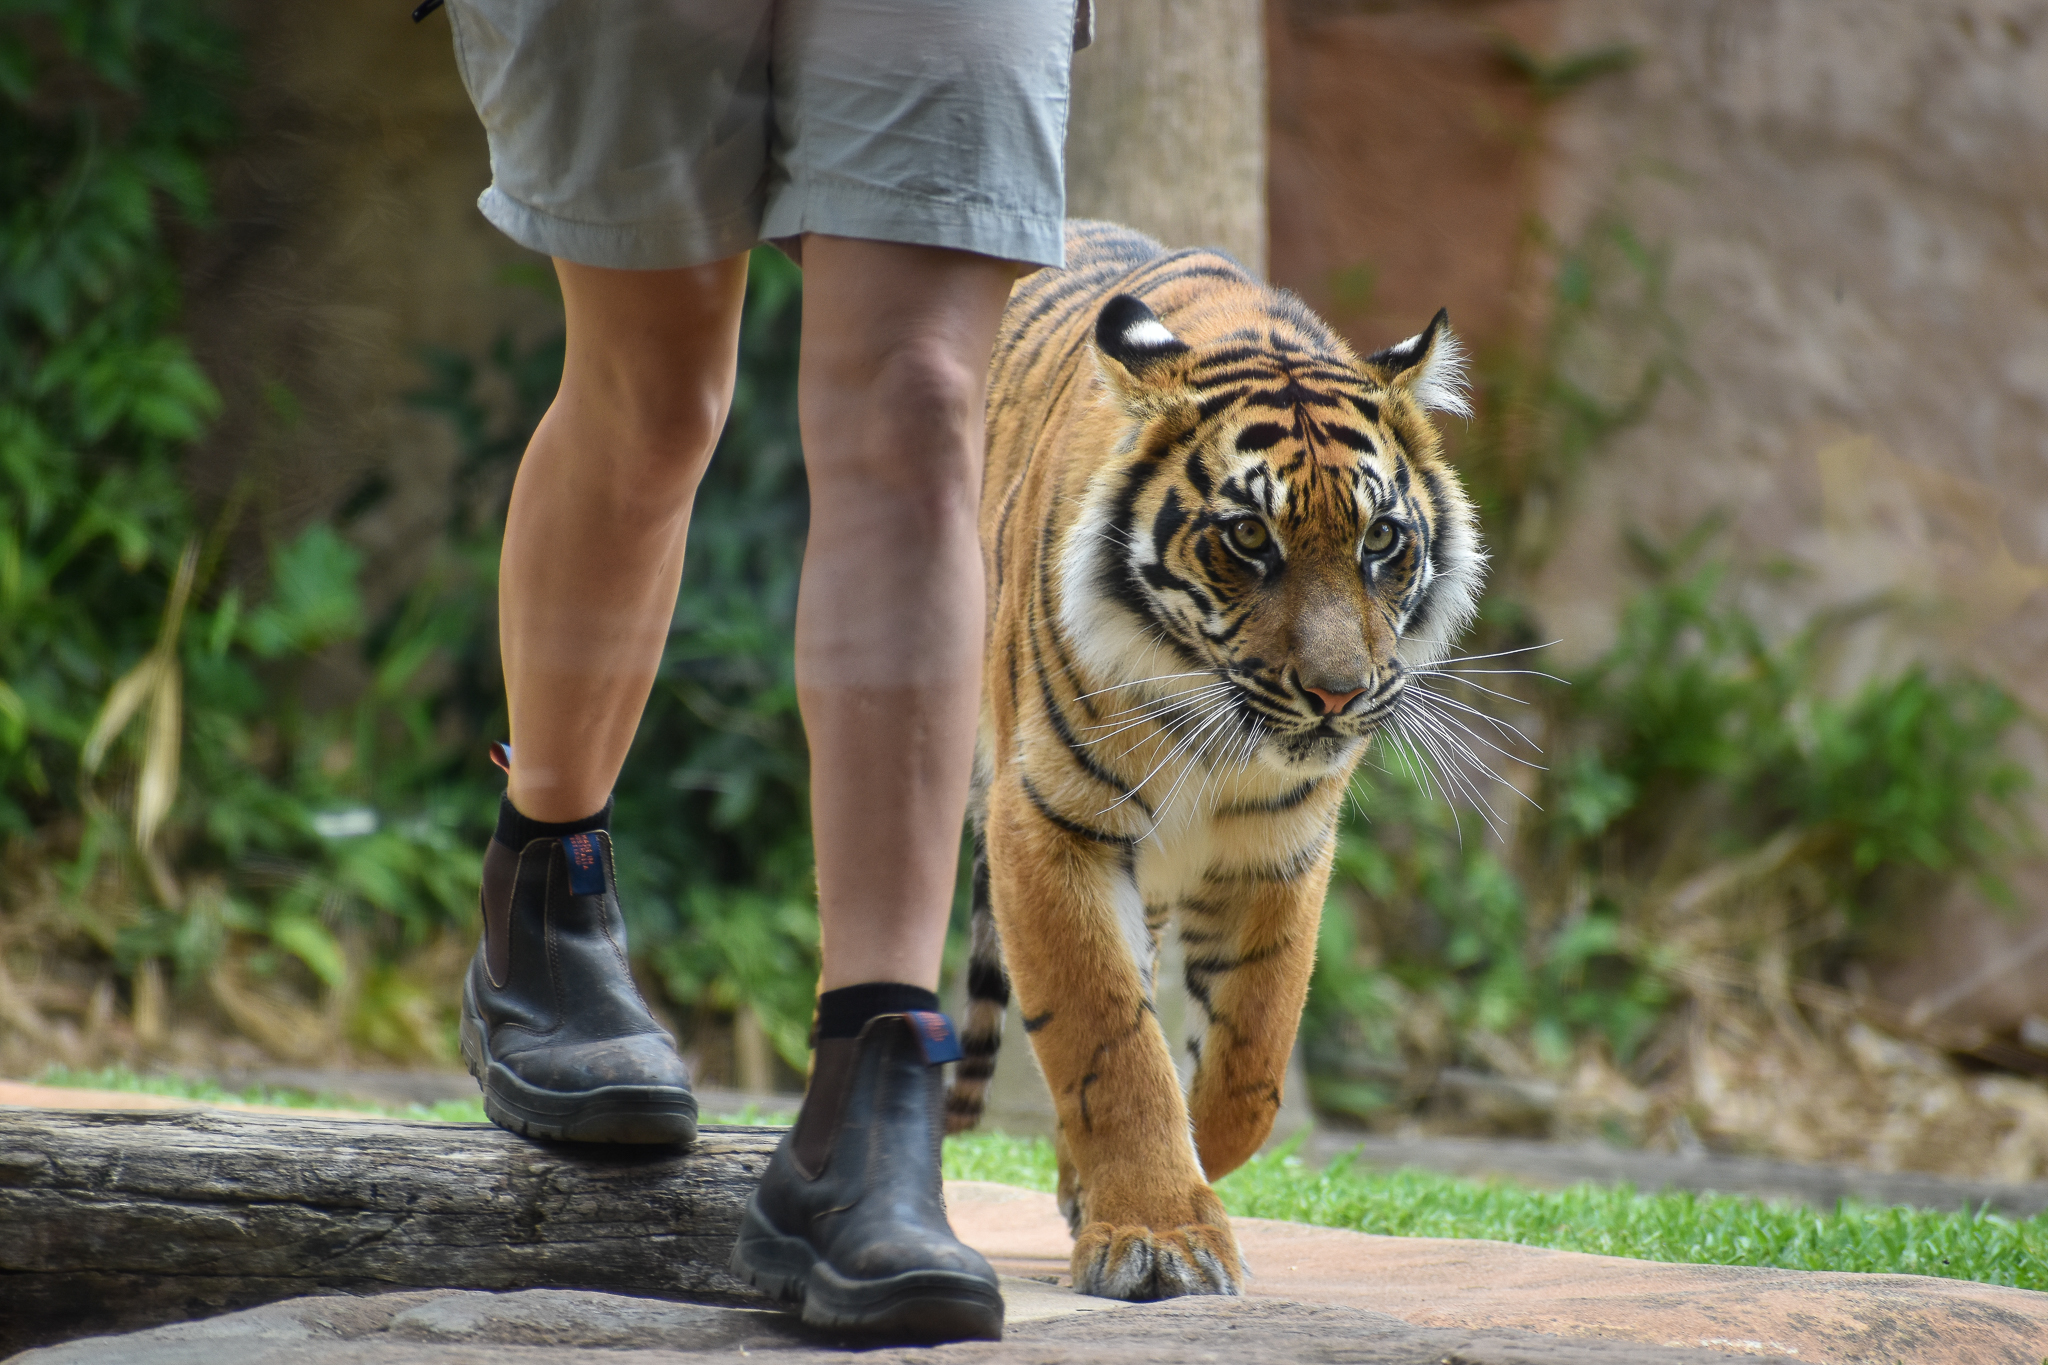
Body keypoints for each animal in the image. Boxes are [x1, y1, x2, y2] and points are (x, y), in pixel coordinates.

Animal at [946, 220, 1486, 1301]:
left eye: (1381, 540)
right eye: (1247, 537)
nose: (1336, 693)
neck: (1217, 728)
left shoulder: (1278, 849)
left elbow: (1249, 1066)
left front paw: (1141, 1186)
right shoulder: (1050, 827)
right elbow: (1110, 1041)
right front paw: (1156, 1232)